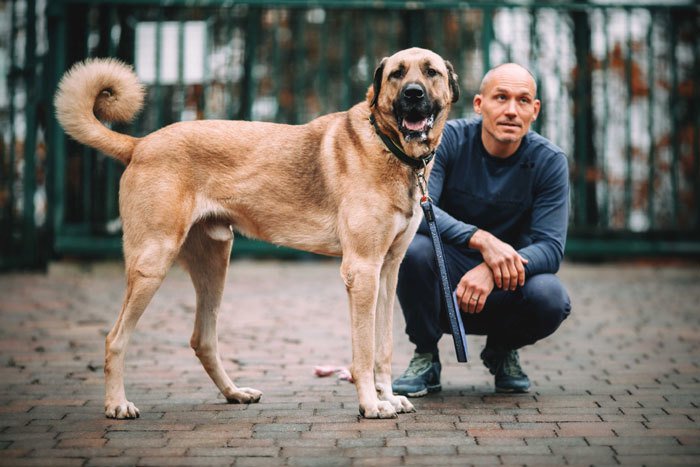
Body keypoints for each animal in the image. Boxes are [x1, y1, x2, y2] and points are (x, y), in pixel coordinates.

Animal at [53, 47, 460, 420]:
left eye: (431, 71)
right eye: (397, 74)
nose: (413, 94)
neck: (388, 145)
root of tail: (139, 145)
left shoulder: (387, 272)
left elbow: (383, 347)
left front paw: (388, 397)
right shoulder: (362, 271)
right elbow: (363, 350)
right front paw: (371, 405)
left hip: (215, 264)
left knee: (203, 339)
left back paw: (234, 393)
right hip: (152, 263)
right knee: (115, 338)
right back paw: (117, 404)